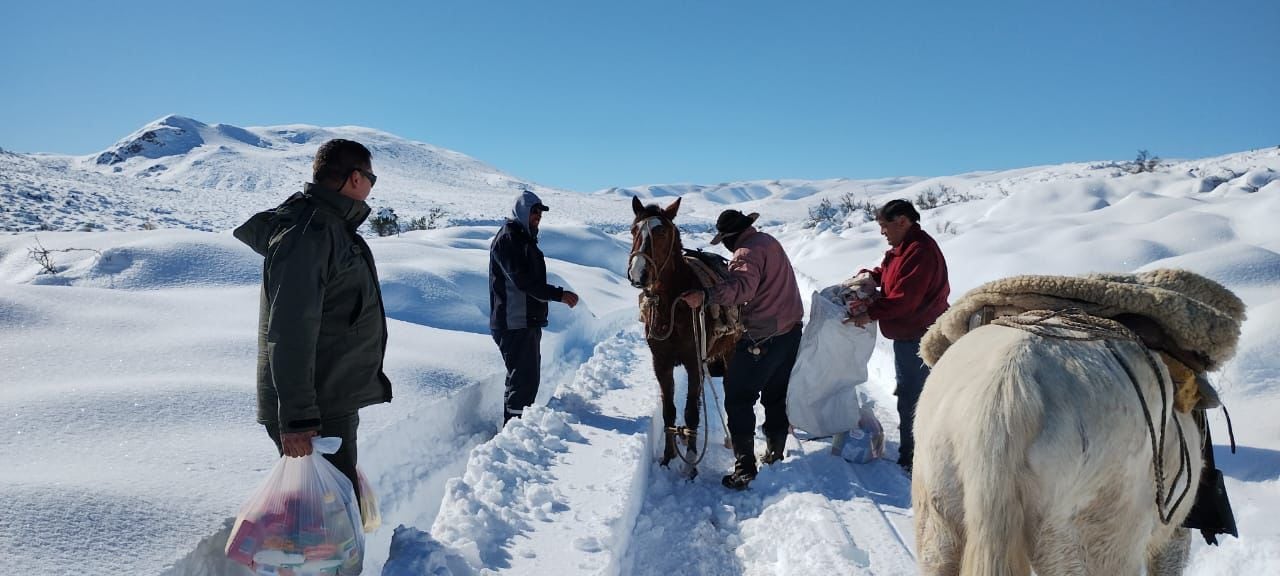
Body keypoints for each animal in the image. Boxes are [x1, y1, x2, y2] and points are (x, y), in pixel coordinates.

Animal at [624, 194, 737, 473]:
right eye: (633, 229)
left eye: (662, 231)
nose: (638, 274)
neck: (673, 306)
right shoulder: (661, 363)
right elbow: (669, 410)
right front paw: (667, 457)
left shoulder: (694, 362)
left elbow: (690, 412)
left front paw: (690, 465)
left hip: (730, 351)